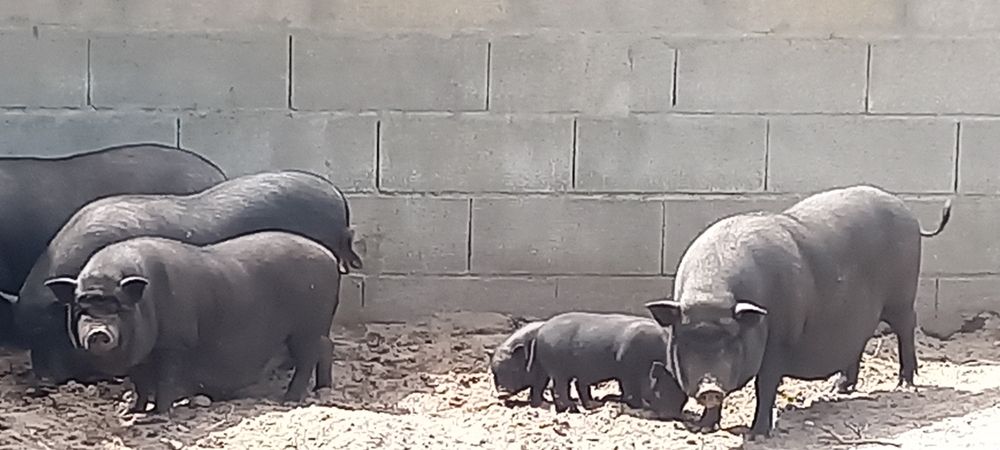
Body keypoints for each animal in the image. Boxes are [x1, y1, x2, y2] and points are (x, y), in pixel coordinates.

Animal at [43, 231, 341, 414]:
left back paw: (289, 399)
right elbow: (140, 384)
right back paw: (322, 390)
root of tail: (329, 256)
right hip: (316, 327)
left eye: (117, 307)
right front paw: (133, 410)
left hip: (306, 327)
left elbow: (166, 379)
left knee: (307, 358)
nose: (98, 332)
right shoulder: (141, 356)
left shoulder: (175, 344)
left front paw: (160, 414)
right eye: (82, 308)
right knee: (327, 347)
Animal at [533, 312, 686, 418]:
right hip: (558, 370)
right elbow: (630, 392)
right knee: (558, 389)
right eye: (663, 388)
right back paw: (573, 410)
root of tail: (541, 332)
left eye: (683, 395)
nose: (673, 415)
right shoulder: (627, 371)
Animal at [645, 185, 952, 438]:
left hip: (902, 297)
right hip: (861, 316)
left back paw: (904, 385)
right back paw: (838, 389)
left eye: (732, 341)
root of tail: (909, 214)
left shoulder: (780, 341)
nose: (710, 387)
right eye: (686, 341)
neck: (711, 293)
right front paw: (703, 428)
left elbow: (766, 385)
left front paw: (757, 436)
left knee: (906, 328)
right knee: (859, 340)